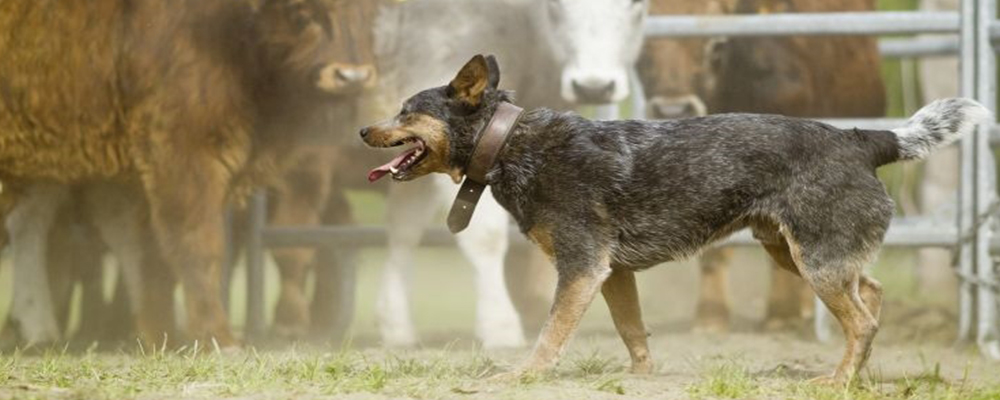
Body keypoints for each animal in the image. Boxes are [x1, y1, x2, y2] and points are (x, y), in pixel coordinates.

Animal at [0, 0, 376, 346]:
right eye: (302, 12)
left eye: (367, 11)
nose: (351, 77)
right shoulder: (182, 159)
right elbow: (197, 244)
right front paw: (217, 338)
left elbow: (150, 249)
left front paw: (163, 331)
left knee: (39, 224)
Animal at [362, 54, 992, 382]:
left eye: (407, 111)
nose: (363, 129)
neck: (511, 142)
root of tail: (864, 139)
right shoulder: (611, 273)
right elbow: (632, 329)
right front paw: (640, 376)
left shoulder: (581, 267)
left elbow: (549, 333)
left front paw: (523, 375)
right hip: (795, 253)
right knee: (873, 293)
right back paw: (856, 374)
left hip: (813, 261)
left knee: (861, 320)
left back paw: (837, 381)